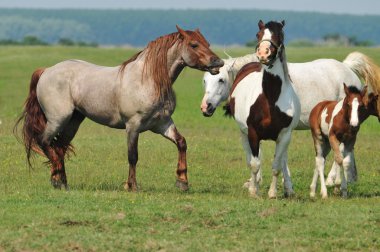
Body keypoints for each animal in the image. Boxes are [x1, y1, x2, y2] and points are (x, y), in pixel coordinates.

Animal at [15, 25, 223, 191]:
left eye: (207, 43)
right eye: (194, 45)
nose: (218, 63)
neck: (147, 80)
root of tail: (46, 71)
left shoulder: (162, 124)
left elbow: (181, 143)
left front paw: (182, 182)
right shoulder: (133, 126)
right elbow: (133, 156)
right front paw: (131, 186)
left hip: (74, 120)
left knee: (59, 147)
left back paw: (62, 182)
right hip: (58, 119)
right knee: (45, 141)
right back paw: (57, 178)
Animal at [226, 20, 300, 199]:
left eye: (279, 35)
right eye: (258, 34)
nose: (263, 53)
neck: (270, 100)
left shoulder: (284, 135)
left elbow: (276, 165)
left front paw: (272, 193)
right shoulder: (253, 133)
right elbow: (254, 164)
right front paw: (254, 191)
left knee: (283, 160)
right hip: (244, 133)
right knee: (251, 158)